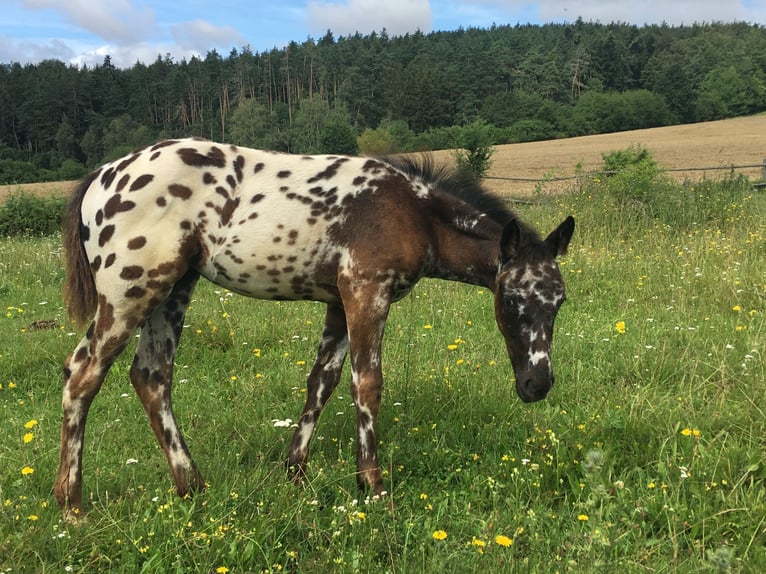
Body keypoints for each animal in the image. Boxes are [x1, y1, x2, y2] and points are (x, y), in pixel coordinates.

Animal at [55, 138, 576, 516]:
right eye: (511, 299)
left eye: (559, 301)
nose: (537, 384)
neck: (412, 212)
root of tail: (103, 176)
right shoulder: (366, 293)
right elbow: (367, 385)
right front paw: (374, 487)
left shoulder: (338, 304)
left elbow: (321, 382)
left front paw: (296, 473)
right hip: (133, 290)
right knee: (83, 375)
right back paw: (72, 505)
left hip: (173, 290)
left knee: (151, 375)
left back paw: (192, 486)